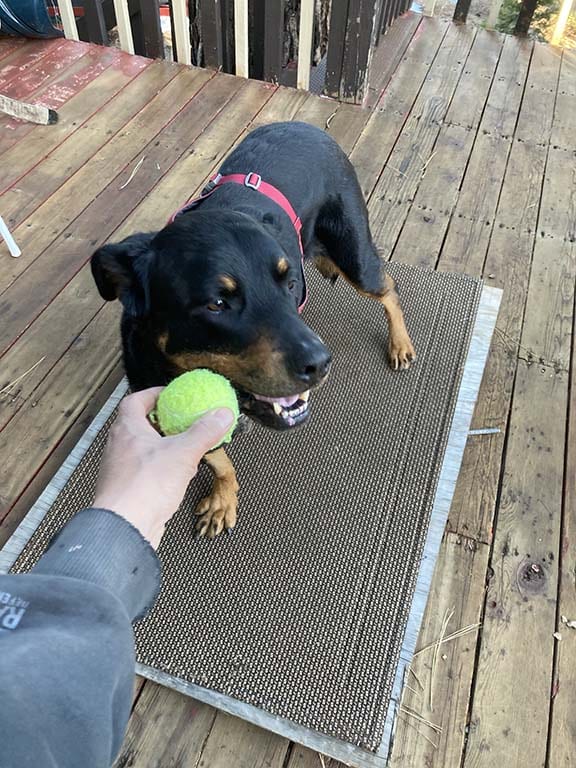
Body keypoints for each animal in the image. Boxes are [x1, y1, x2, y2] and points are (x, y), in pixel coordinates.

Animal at [90, 121, 414, 540]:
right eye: (217, 303)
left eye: (290, 284)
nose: (321, 364)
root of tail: (308, 127)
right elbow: (218, 458)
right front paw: (223, 497)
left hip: (354, 255)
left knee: (388, 286)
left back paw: (400, 343)